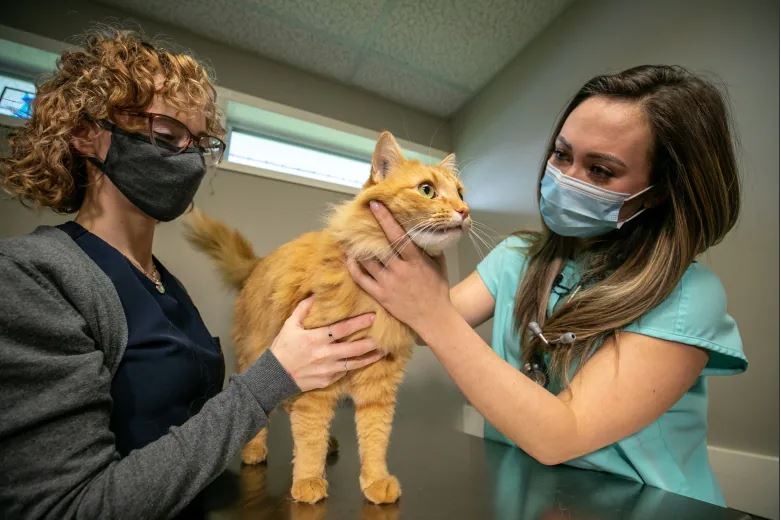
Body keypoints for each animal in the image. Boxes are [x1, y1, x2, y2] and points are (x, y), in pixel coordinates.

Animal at [184, 130, 470, 504]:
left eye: (461, 193)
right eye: (426, 190)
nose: (465, 211)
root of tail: (258, 263)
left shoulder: (379, 381)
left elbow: (375, 437)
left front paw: (376, 480)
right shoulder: (316, 375)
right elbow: (309, 436)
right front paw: (307, 482)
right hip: (259, 355)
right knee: (261, 409)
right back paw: (254, 450)